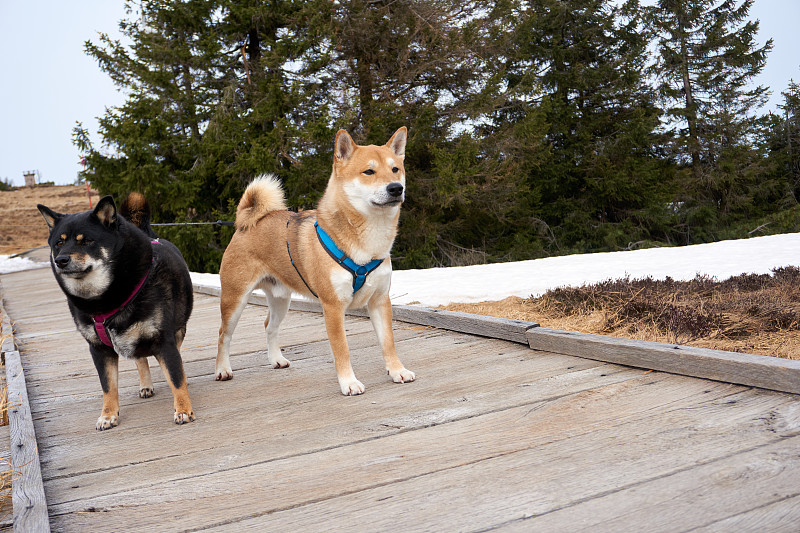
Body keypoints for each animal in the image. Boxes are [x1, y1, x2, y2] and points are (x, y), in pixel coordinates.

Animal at [38, 193, 195, 430]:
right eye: (59, 243)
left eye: (86, 241)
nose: (61, 260)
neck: (104, 301)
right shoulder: (99, 349)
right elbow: (108, 386)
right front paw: (108, 415)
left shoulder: (164, 340)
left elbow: (176, 377)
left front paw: (183, 409)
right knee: (140, 359)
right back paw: (145, 385)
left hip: (177, 330)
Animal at [216, 128, 416, 394]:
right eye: (369, 171)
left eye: (395, 169)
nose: (396, 188)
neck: (368, 242)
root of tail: (247, 222)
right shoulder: (333, 306)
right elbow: (342, 350)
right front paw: (349, 382)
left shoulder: (380, 301)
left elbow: (388, 343)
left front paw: (397, 371)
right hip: (235, 300)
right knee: (223, 334)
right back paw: (222, 369)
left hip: (281, 300)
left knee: (270, 326)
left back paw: (276, 359)